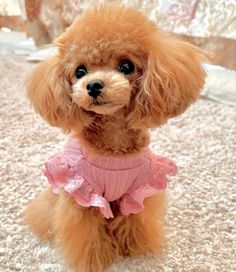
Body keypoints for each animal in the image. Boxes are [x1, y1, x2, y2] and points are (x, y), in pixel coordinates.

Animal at [24, 2, 206, 272]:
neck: (113, 144)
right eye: (80, 72)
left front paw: (133, 249)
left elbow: (134, 220)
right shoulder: (83, 196)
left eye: (126, 66)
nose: (93, 85)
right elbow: (88, 235)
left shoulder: (138, 190)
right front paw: (95, 259)